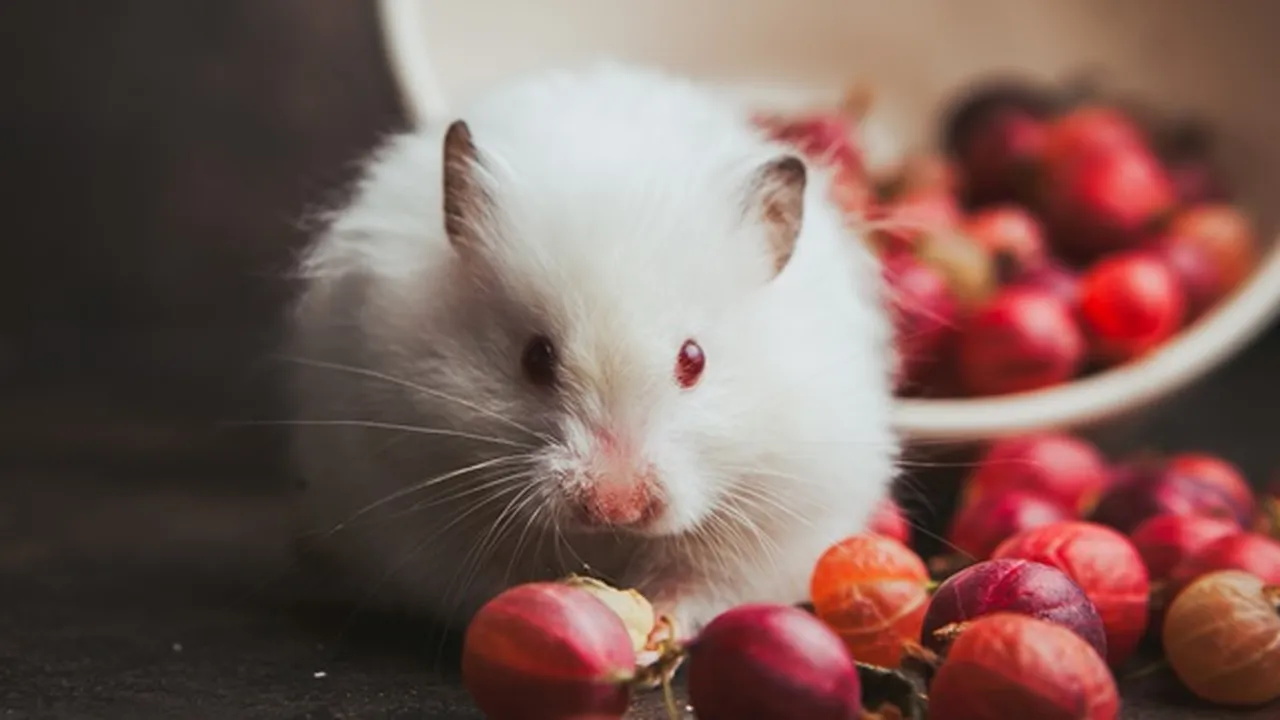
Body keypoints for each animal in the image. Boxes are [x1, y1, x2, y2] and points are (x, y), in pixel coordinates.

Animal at [285, 62, 900, 638]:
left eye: (694, 360)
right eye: (535, 358)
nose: (615, 506)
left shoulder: (778, 514)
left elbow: (698, 581)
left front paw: (659, 625)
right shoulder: (413, 495)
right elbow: (494, 577)